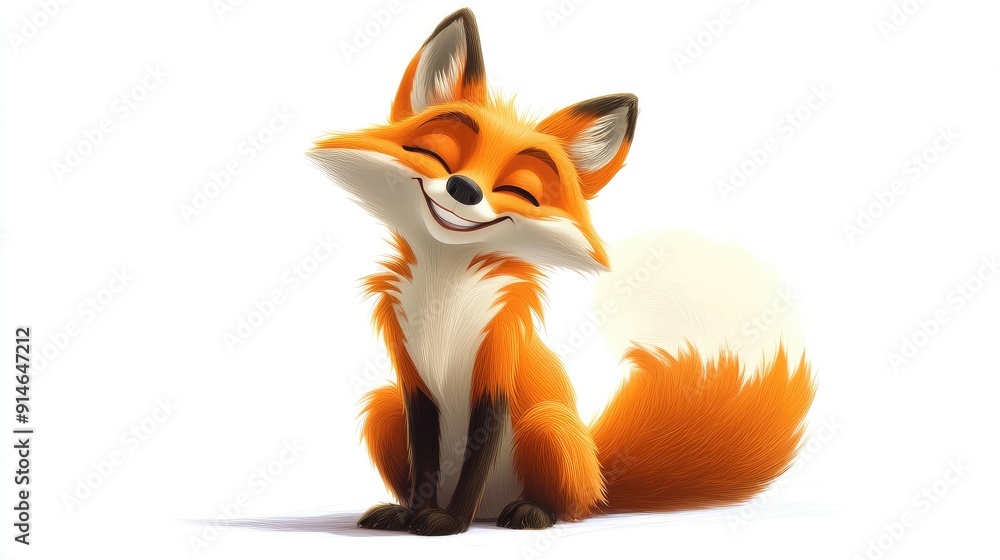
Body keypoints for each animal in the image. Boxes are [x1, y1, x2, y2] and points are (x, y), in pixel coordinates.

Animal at [308, 8, 816, 536]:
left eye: (520, 190)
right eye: (438, 155)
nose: (464, 188)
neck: (446, 294)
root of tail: (600, 479)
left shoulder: (497, 364)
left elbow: (477, 456)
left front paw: (448, 524)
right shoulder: (412, 382)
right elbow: (424, 461)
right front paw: (414, 514)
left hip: (547, 424)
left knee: (564, 508)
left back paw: (528, 513)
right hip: (384, 408)